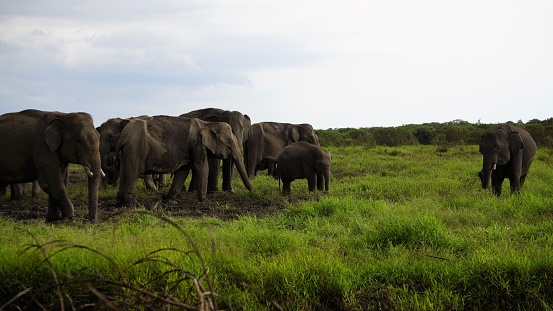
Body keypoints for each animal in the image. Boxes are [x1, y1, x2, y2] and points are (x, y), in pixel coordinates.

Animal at [117, 116, 253, 206]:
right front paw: (205, 201)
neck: (208, 123)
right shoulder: (197, 145)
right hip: (136, 149)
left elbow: (183, 171)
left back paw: (119, 202)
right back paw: (133, 205)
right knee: (133, 173)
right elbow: (203, 168)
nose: (252, 190)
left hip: (126, 152)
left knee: (124, 173)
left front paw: (171, 200)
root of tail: (123, 135)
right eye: (229, 142)